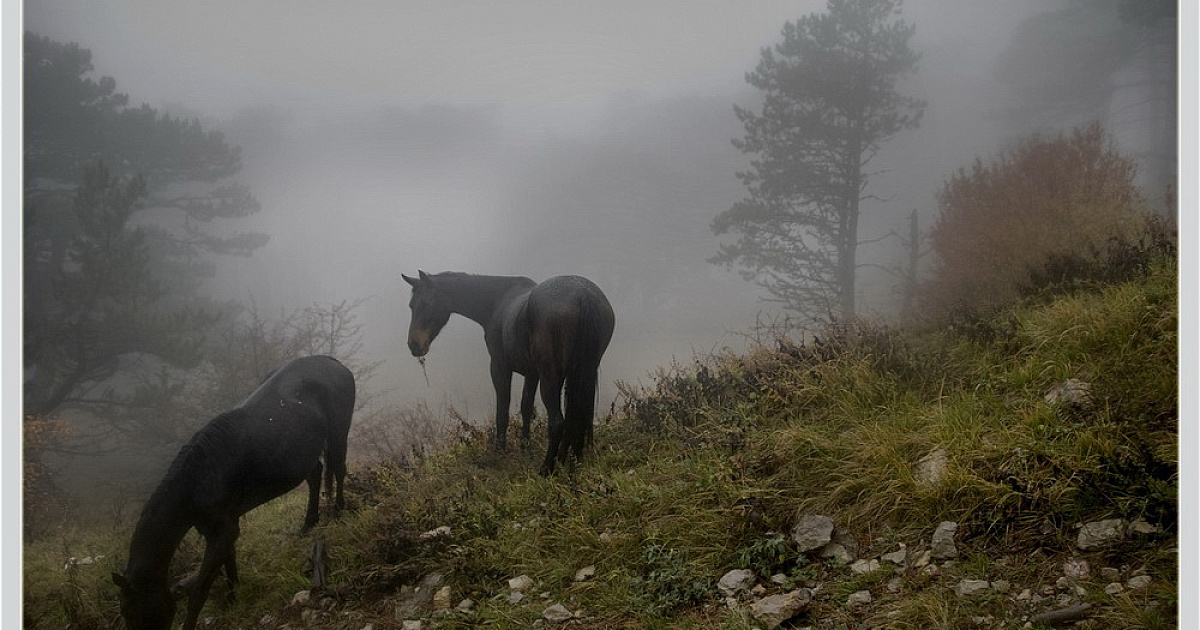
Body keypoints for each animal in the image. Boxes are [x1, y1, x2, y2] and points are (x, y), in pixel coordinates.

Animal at [111, 352, 355, 628]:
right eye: (126, 612)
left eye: (133, 611)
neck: (197, 480)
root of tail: (332, 362)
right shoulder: (218, 529)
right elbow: (229, 562)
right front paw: (232, 597)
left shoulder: (223, 529)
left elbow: (201, 587)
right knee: (315, 474)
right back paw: (307, 524)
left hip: (339, 430)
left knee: (338, 468)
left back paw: (337, 512)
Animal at [405, 268, 619, 470]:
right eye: (411, 306)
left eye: (425, 304)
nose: (414, 345)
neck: (496, 302)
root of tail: (584, 295)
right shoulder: (532, 374)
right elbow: (526, 408)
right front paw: (525, 447)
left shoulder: (499, 367)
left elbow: (503, 412)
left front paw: (500, 452)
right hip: (580, 374)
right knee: (580, 416)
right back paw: (571, 460)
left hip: (551, 379)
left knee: (558, 422)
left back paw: (547, 468)